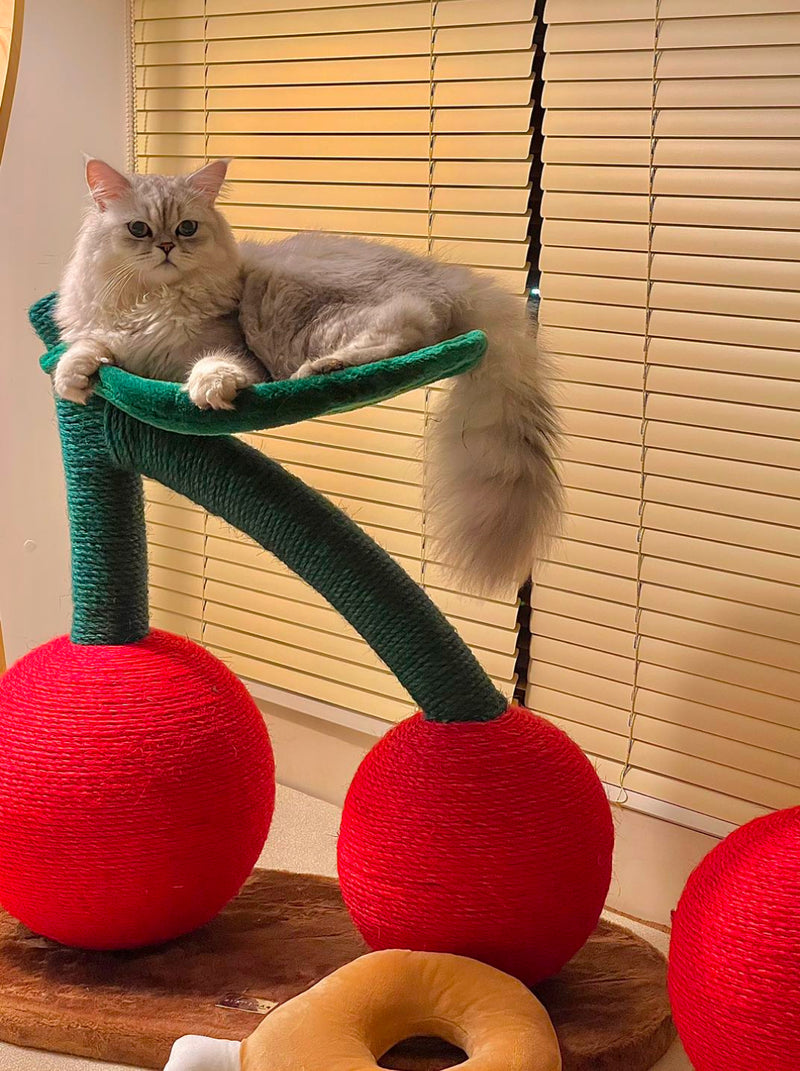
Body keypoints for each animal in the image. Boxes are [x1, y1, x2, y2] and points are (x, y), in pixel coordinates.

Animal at [55, 158, 560, 592]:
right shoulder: (117, 343)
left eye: (187, 228)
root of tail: (450, 278)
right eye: (138, 229)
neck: (152, 302)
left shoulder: (231, 351)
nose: (165, 247)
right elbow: (91, 347)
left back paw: (325, 369)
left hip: (309, 312)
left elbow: (212, 365)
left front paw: (209, 390)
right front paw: (74, 378)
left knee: (412, 324)